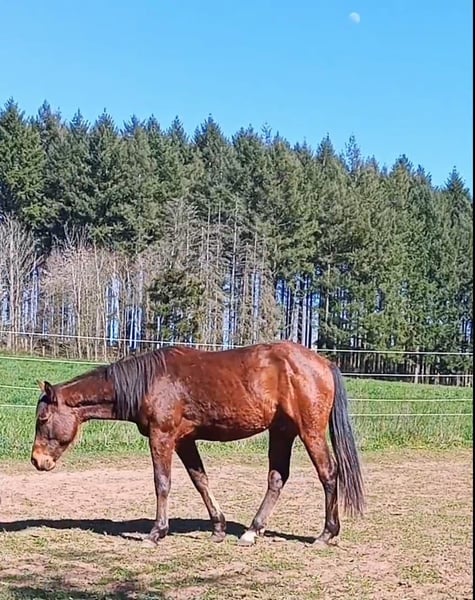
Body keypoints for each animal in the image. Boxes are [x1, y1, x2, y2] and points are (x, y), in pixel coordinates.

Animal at [31, 341, 365, 546]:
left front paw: (156, 532)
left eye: (43, 419)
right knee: (277, 479)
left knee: (328, 473)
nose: (37, 460)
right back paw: (252, 531)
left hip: (310, 432)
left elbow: (162, 483)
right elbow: (200, 480)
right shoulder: (184, 441)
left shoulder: (162, 437)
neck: (151, 381)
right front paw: (218, 528)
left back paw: (326, 534)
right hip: (282, 432)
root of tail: (324, 363)